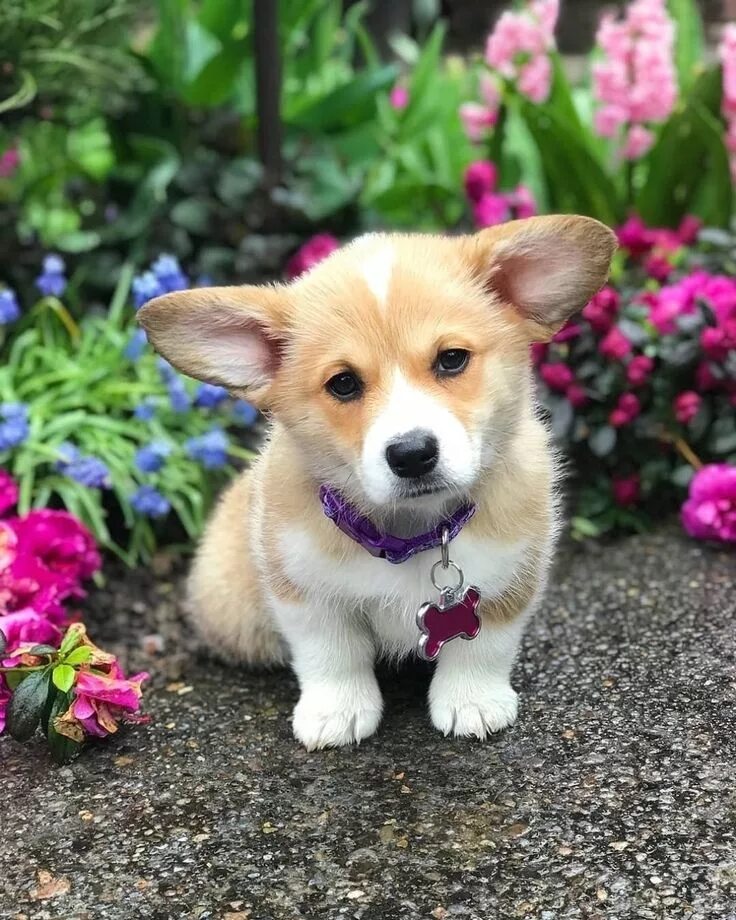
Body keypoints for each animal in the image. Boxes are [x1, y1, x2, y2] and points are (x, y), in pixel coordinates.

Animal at [138, 219, 616, 752]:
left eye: (452, 359)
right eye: (343, 383)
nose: (412, 454)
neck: (411, 532)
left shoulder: (510, 578)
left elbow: (483, 647)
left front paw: (472, 702)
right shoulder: (305, 592)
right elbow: (331, 655)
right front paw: (336, 712)